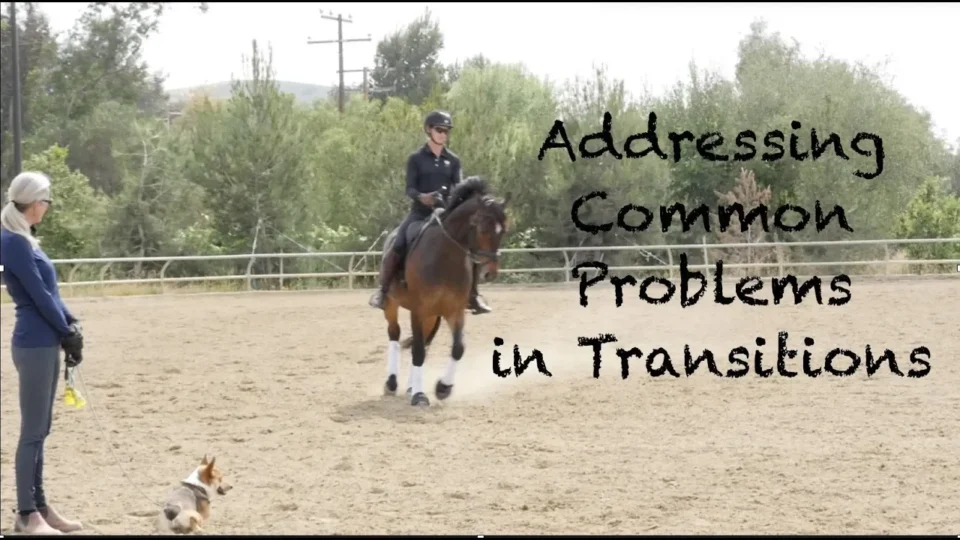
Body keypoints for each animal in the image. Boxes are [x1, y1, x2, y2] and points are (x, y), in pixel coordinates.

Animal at [378, 176, 510, 407]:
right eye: (482, 229)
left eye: (503, 231)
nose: (490, 273)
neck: (444, 257)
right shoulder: (418, 310)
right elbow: (418, 351)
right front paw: (419, 396)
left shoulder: (454, 311)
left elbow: (458, 348)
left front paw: (443, 388)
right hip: (392, 304)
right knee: (395, 334)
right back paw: (392, 383)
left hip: (433, 316)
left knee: (424, 342)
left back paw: (411, 386)